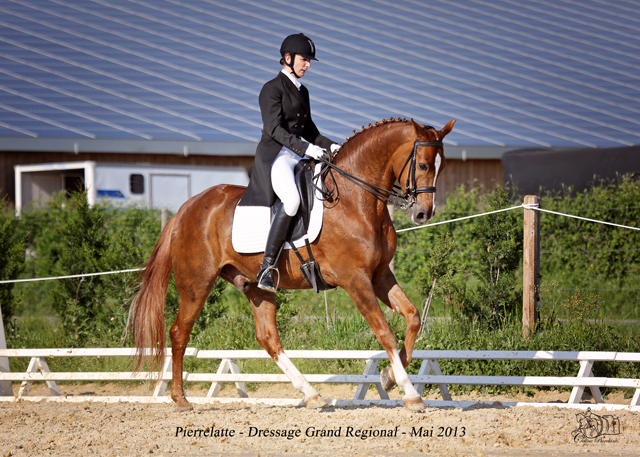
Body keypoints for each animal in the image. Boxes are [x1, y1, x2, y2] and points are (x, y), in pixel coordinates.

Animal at [129, 116, 456, 410]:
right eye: (423, 165)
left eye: (442, 167)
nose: (424, 214)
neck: (357, 198)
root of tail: (185, 208)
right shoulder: (355, 280)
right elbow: (385, 332)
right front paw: (410, 393)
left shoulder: (379, 275)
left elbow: (413, 317)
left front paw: (389, 376)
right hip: (196, 283)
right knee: (179, 333)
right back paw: (181, 399)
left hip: (254, 285)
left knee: (267, 337)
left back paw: (312, 395)